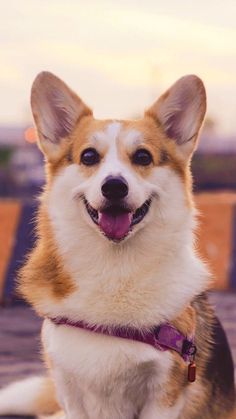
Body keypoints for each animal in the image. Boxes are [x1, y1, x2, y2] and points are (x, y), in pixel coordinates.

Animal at [0, 73, 234, 419]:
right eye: (88, 157)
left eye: (142, 157)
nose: (113, 187)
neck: (115, 268)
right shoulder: (70, 392)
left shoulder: (163, 395)